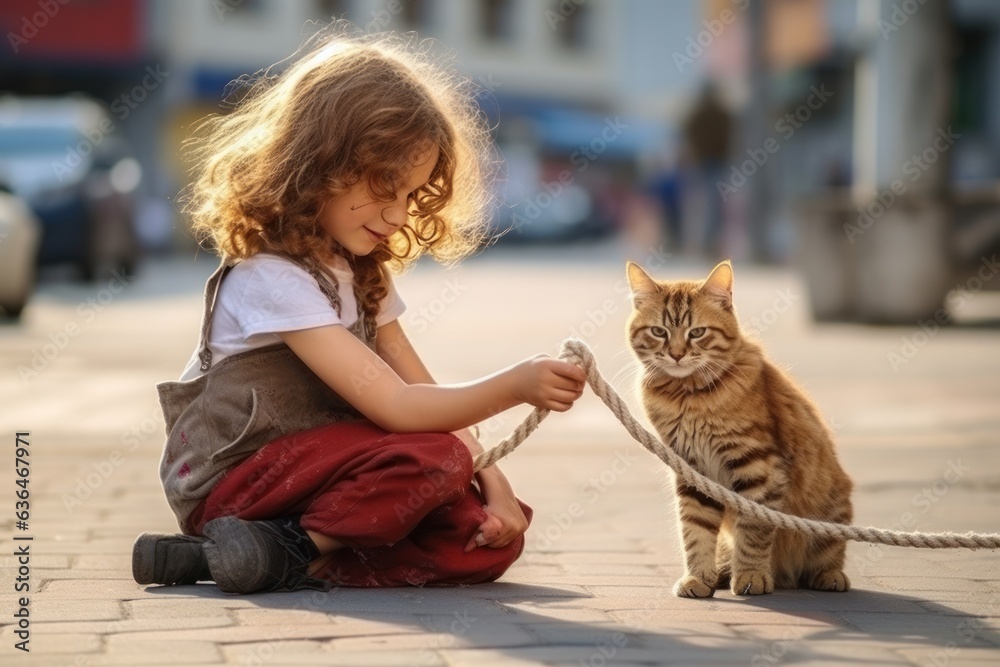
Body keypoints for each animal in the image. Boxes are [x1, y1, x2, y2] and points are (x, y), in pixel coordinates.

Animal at [624, 260, 852, 600]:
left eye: (697, 333)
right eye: (658, 332)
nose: (676, 354)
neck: (687, 395)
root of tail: (787, 576)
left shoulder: (757, 465)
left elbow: (754, 531)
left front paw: (751, 575)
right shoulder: (692, 471)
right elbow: (695, 530)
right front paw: (698, 576)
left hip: (832, 507)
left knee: (827, 554)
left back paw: (827, 576)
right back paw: (722, 572)